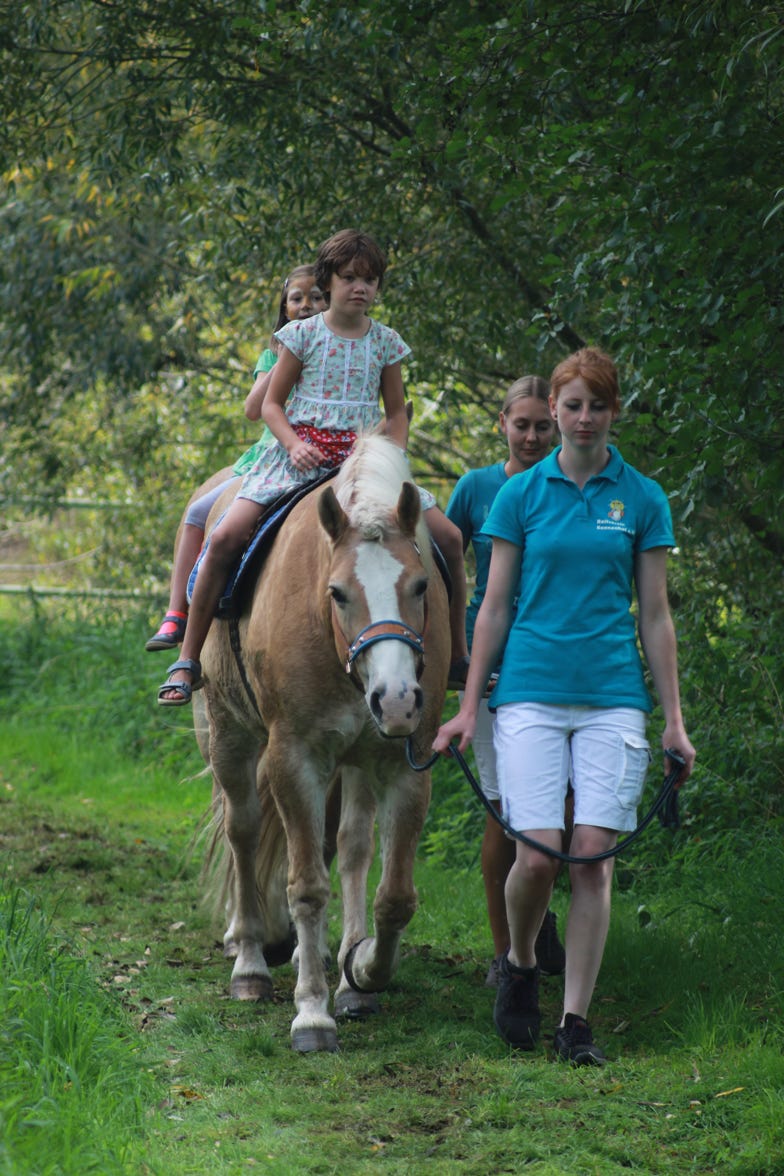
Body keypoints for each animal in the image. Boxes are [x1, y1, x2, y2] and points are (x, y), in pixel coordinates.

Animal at [195, 435, 446, 1058]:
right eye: (337, 593)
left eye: (421, 585)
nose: (397, 700)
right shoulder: (295, 758)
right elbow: (306, 886)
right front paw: (311, 1014)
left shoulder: (403, 764)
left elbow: (395, 896)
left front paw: (362, 969)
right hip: (227, 735)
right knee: (243, 830)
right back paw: (250, 960)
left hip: (355, 761)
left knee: (352, 846)